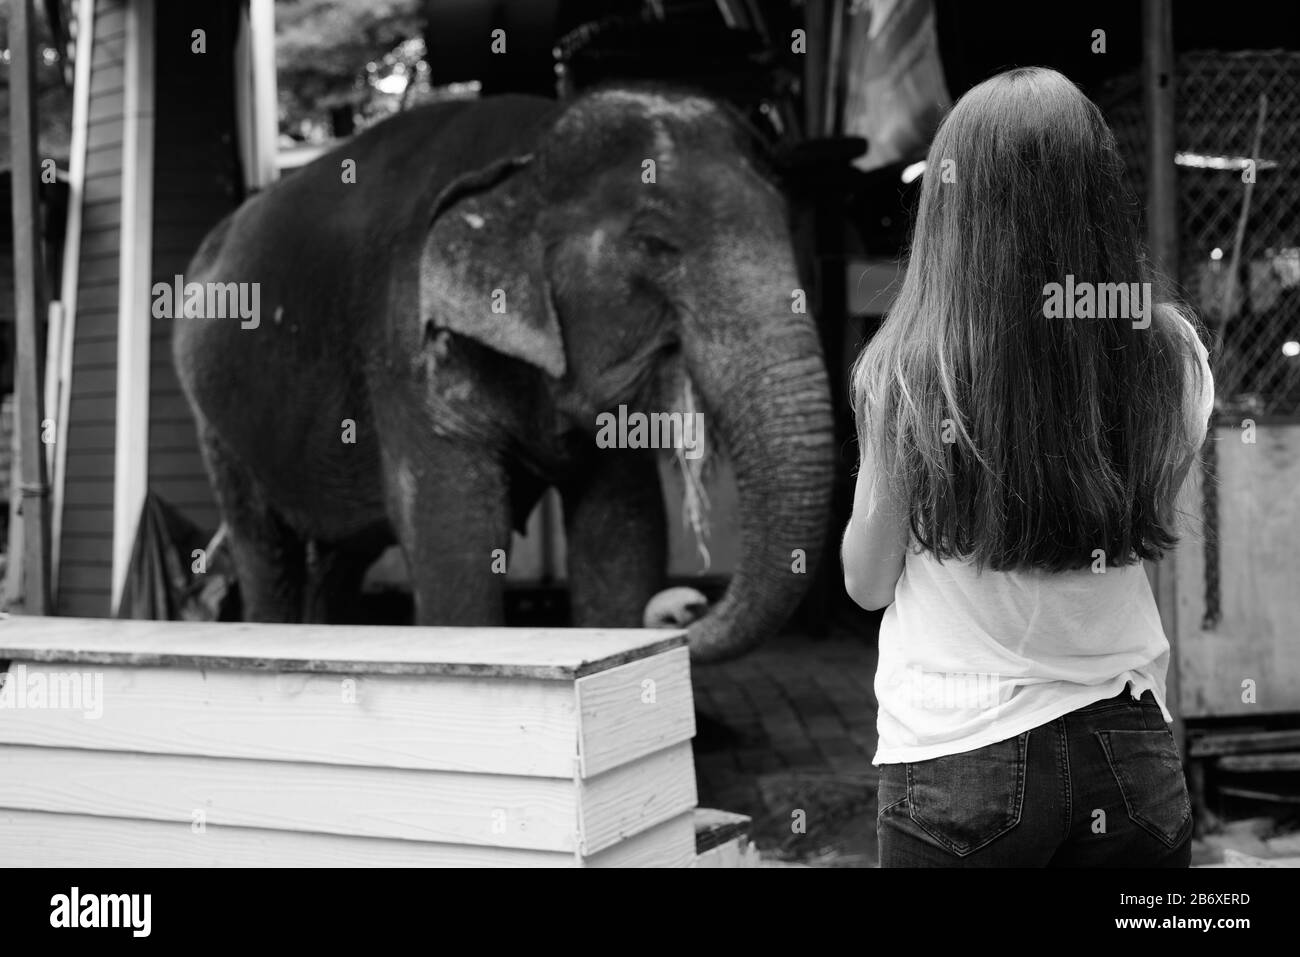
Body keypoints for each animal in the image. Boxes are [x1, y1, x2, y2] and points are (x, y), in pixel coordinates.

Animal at [175, 85, 832, 660]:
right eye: (654, 244)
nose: (684, 609)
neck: (529, 154)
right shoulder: (408, 343)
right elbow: (456, 533)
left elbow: (623, 527)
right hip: (212, 420)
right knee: (264, 545)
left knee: (341, 556)